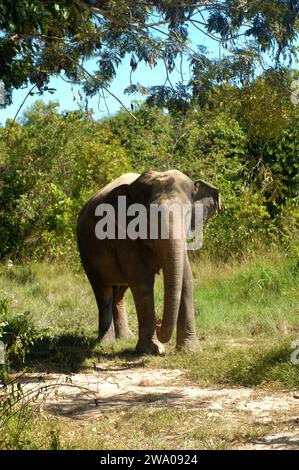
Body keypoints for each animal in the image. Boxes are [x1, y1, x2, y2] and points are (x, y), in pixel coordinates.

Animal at [77, 168, 225, 352]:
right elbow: (142, 283)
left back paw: (125, 338)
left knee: (119, 292)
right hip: (86, 255)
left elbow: (186, 280)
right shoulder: (124, 235)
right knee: (103, 292)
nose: (159, 323)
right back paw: (106, 342)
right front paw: (152, 350)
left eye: (188, 214)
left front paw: (190, 350)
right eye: (148, 216)